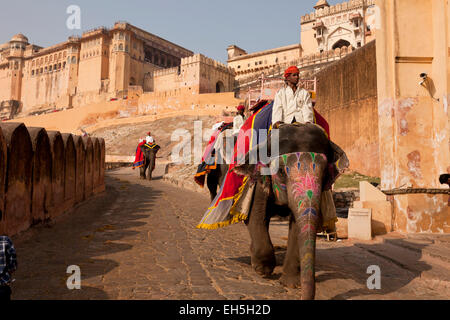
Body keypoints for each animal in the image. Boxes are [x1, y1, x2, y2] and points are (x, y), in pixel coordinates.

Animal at [234, 122, 346, 300]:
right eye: (280, 171)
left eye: (324, 174)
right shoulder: (260, 179)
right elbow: (255, 216)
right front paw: (263, 270)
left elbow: (297, 227)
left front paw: (291, 284)